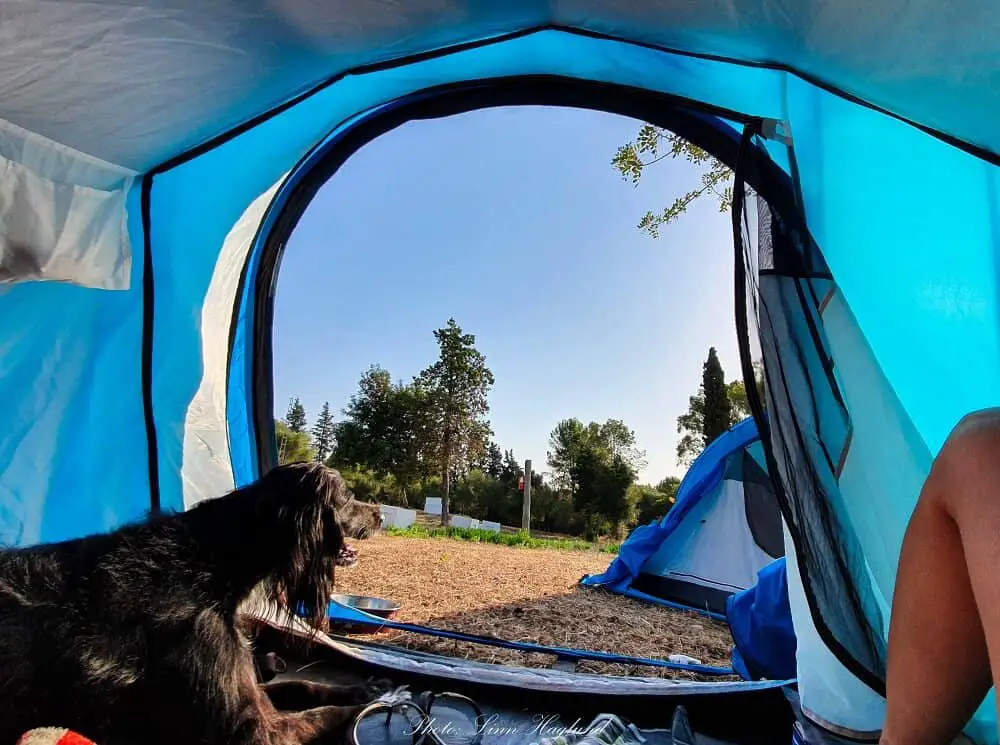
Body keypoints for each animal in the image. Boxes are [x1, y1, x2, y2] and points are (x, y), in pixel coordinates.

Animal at [0, 462, 382, 740]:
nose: (380, 514)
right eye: (348, 497)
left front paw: (361, 690)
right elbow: (324, 715)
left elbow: (299, 684)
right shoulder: (255, 730)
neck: (213, 563)